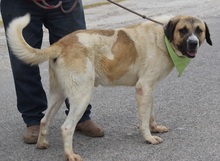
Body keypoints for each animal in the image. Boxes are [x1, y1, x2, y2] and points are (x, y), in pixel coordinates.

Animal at [6, 13, 212, 160]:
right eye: (183, 30)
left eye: (198, 30)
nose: (193, 43)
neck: (163, 38)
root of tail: (62, 43)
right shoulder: (143, 87)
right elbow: (143, 119)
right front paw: (148, 138)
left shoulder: (149, 89)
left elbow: (150, 114)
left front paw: (154, 128)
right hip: (82, 95)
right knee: (66, 127)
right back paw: (70, 155)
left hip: (59, 94)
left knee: (44, 119)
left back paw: (41, 144)